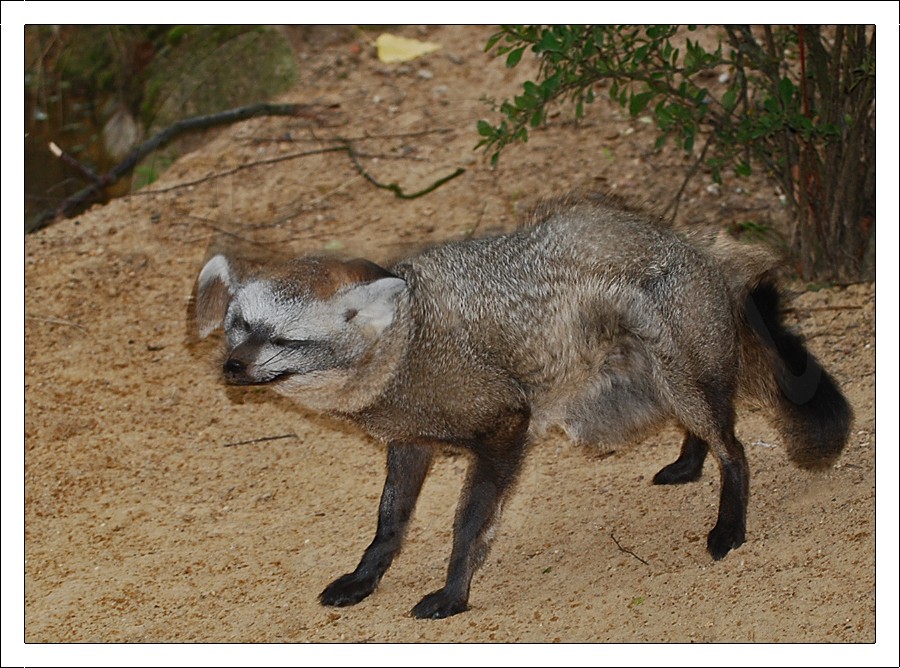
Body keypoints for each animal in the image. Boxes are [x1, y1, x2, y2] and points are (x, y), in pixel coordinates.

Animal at [194, 194, 851, 619]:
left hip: (682, 380)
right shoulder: (410, 443)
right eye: (239, 327)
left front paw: (454, 596)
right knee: (709, 432)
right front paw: (364, 580)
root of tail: (703, 252)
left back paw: (729, 526)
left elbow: (466, 528)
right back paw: (689, 464)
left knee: (735, 448)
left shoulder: (504, 430)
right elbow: (387, 526)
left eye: (284, 339)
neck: (414, 343)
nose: (230, 368)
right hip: (668, 383)